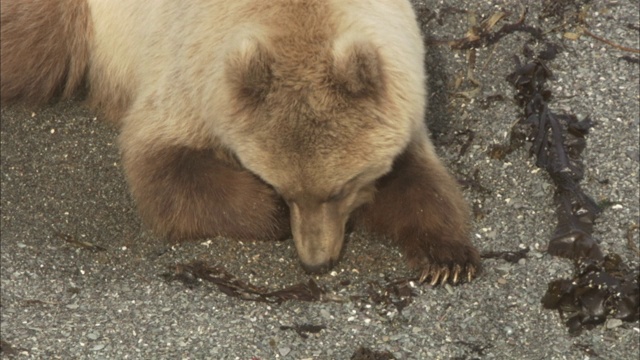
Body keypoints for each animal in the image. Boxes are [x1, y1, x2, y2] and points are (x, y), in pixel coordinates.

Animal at [0, 0, 480, 282]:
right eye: (282, 187)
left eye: (341, 187)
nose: (315, 261)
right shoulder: (191, 77)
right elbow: (164, 167)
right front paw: (268, 213)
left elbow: (417, 178)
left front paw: (447, 259)